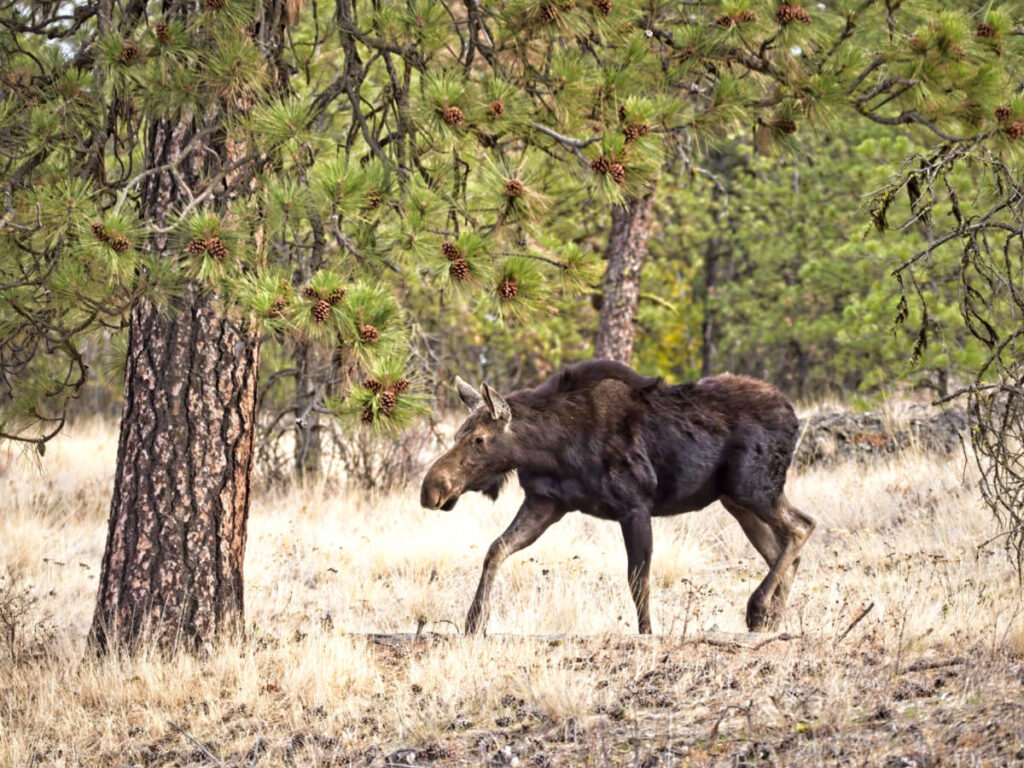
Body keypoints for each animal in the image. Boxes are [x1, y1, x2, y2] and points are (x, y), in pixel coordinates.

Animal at [420, 359, 815, 635]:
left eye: (479, 439)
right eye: (457, 434)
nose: (432, 488)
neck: (549, 449)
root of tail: (793, 417)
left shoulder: (635, 506)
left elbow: (638, 581)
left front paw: (647, 633)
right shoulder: (546, 502)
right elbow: (496, 549)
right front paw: (474, 622)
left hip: (752, 488)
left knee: (802, 526)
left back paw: (758, 608)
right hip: (736, 501)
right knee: (783, 550)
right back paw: (772, 620)